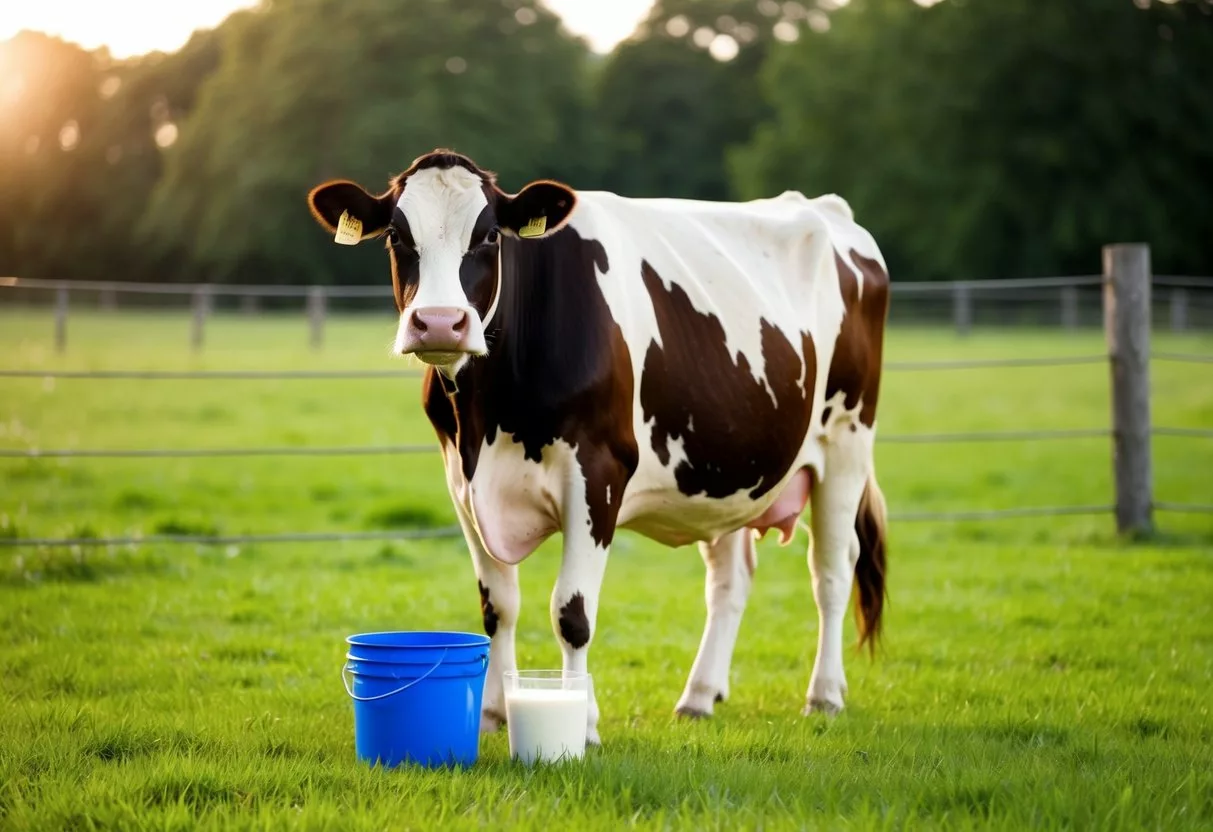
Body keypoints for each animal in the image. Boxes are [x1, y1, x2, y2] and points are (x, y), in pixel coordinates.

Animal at [308, 149, 887, 742]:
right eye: (396, 236)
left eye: (489, 235)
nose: (441, 323)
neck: (489, 415)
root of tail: (827, 209)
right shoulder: (462, 483)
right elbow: (498, 608)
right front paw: (492, 714)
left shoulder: (599, 473)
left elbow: (572, 613)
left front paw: (580, 722)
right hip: (723, 468)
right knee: (731, 579)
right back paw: (699, 696)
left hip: (846, 442)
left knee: (832, 570)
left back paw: (824, 694)